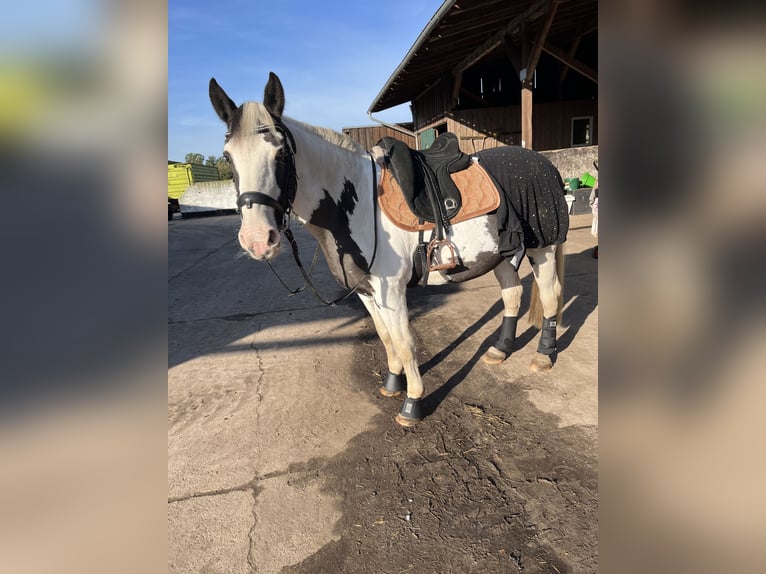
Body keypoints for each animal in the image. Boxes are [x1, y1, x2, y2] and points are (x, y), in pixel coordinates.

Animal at [210, 73, 568, 428]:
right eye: (227, 157)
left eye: (281, 154)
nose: (258, 239)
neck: (357, 203)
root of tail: (543, 162)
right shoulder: (367, 292)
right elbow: (385, 337)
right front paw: (393, 383)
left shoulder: (392, 290)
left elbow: (405, 342)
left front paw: (413, 403)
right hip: (500, 254)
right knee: (512, 295)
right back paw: (500, 349)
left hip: (543, 248)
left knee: (550, 296)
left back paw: (543, 356)